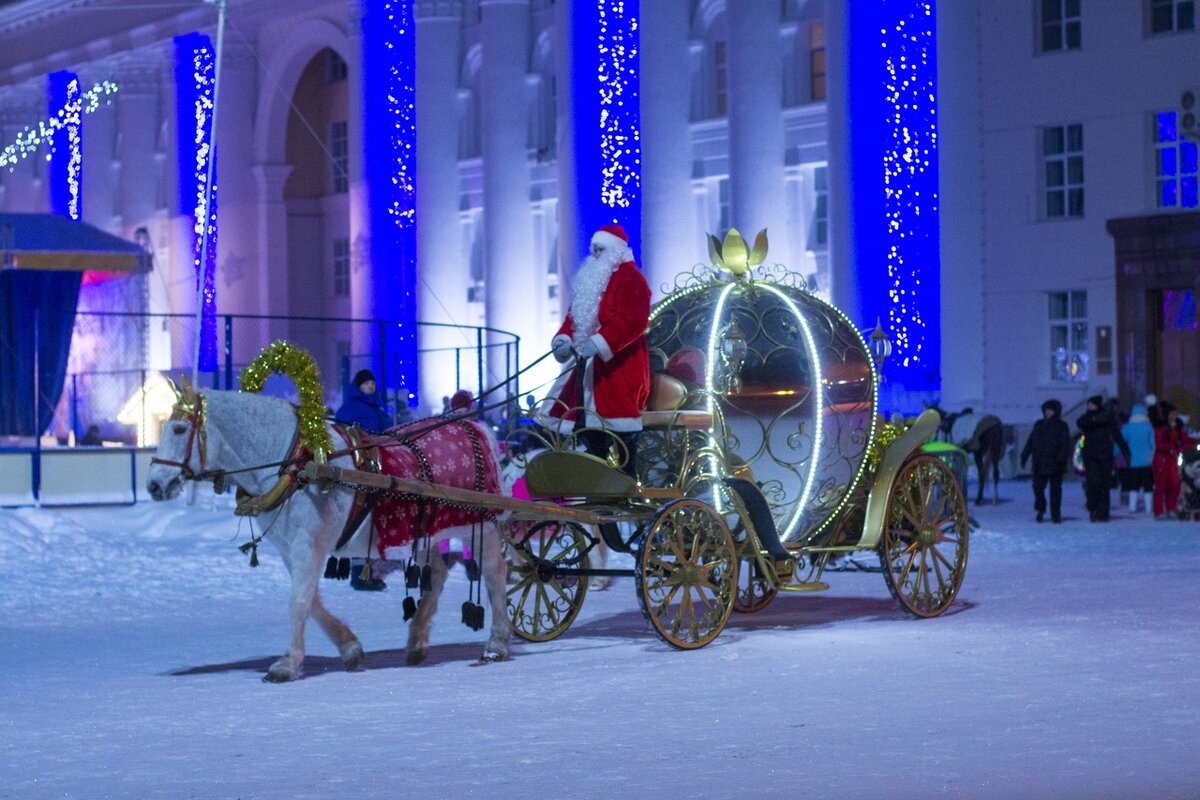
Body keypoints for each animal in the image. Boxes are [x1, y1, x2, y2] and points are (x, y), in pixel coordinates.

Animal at [146, 381, 511, 681]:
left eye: (178, 429)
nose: (153, 485)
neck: (297, 463)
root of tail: (476, 425)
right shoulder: (292, 549)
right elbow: (311, 600)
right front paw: (350, 649)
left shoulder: (307, 546)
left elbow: (299, 600)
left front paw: (287, 664)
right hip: (428, 528)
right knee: (436, 574)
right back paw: (417, 642)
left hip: (484, 524)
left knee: (495, 575)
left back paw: (497, 643)